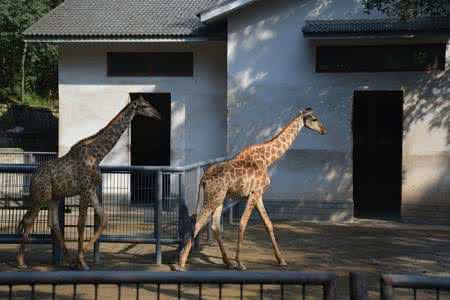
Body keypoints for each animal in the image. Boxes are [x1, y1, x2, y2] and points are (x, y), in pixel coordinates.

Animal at [17, 96, 162, 270]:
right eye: (145, 106)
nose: (159, 115)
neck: (97, 154)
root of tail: (32, 178)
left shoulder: (91, 190)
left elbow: (103, 219)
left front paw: (80, 259)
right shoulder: (85, 189)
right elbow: (81, 224)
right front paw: (82, 261)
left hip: (54, 197)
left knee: (53, 224)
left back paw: (68, 260)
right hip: (41, 196)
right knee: (29, 220)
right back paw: (21, 262)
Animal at [172, 106, 326, 270]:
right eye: (314, 118)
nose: (324, 130)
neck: (267, 159)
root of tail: (203, 179)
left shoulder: (257, 194)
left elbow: (268, 224)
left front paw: (281, 260)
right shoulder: (254, 193)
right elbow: (242, 224)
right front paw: (240, 262)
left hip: (219, 198)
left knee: (214, 225)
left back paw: (227, 262)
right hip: (213, 198)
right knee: (198, 223)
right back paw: (181, 263)